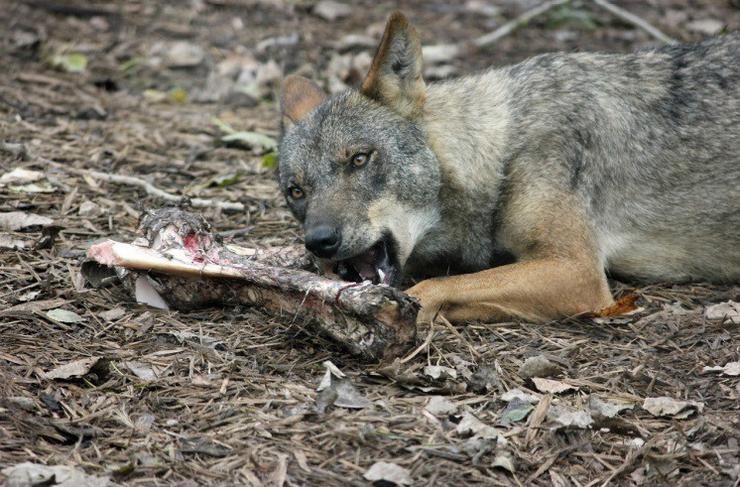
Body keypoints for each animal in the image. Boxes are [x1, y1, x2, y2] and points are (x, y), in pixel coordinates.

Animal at [276, 12, 740, 324]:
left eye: (359, 159)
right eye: (296, 191)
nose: (319, 241)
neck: (502, 152)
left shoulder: (576, 271)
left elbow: (435, 288)